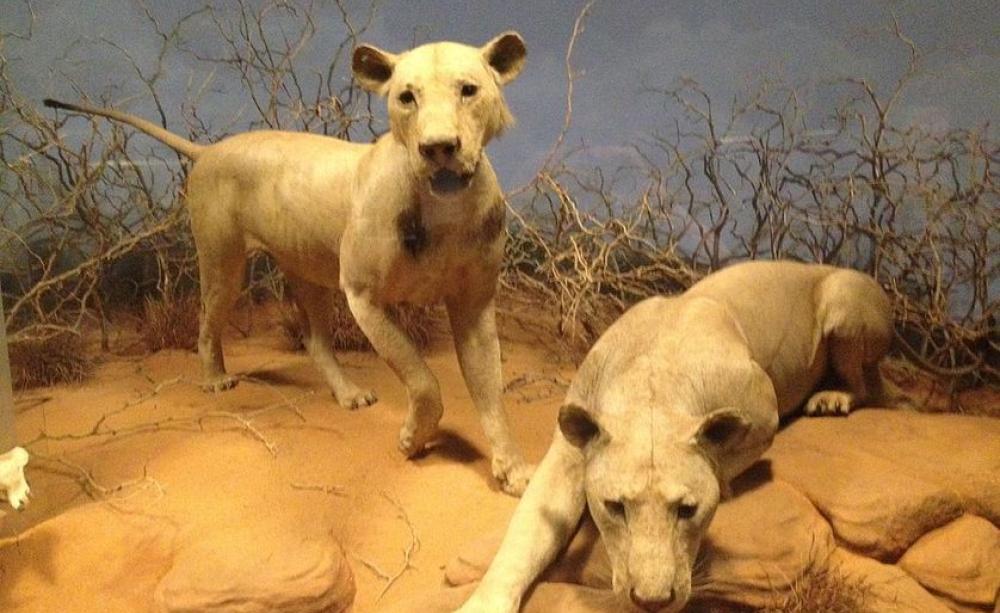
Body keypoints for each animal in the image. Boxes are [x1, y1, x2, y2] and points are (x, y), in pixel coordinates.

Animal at [44, 32, 533, 494]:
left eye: (468, 90)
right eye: (406, 97)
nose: (438, 148)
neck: (445, 210)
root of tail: (210, 150)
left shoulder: (474, 304)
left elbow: (491, 391)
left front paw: (513, 471)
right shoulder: (362, 295)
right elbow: (423, 379)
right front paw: (413, 440)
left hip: (307, 272)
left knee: (315, 340)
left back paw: (348, 394)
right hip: (224, 262)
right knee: (207, 321)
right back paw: (216, 380)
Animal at [456, 260, 896, 612]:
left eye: (687, 510)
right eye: (615, 507)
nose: (652, 601)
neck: (651, 390)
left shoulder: (764, 408)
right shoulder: (568, 453)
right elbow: (525, 535)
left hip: (844, 304)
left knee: (869, 386)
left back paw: (831, 398)